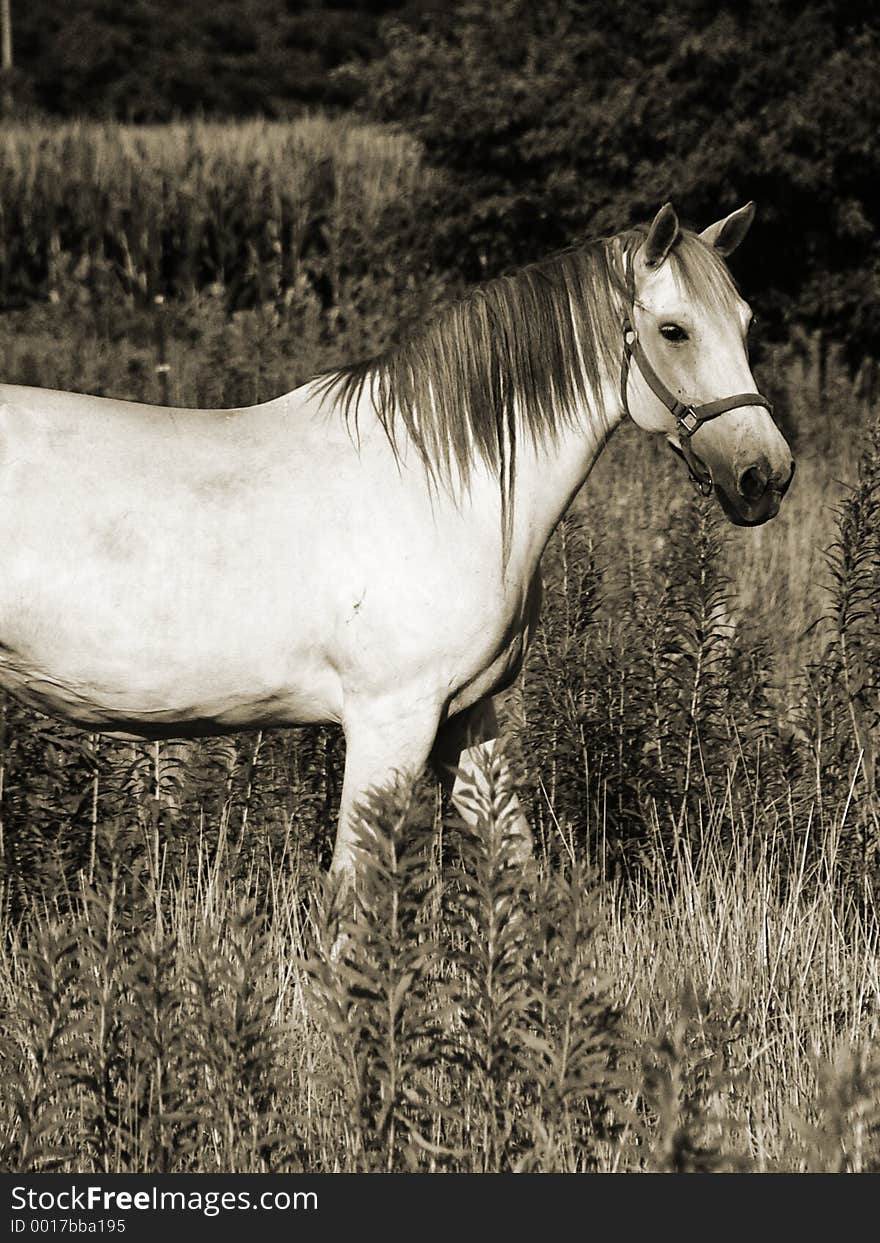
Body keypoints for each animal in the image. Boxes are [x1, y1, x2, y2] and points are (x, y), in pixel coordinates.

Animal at [0, 201, 795, 875]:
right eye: (674, 330)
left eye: (746, 323)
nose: (765, 475)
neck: (444, 486)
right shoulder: (391, 720)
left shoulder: (467, 718)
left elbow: (516, 868)